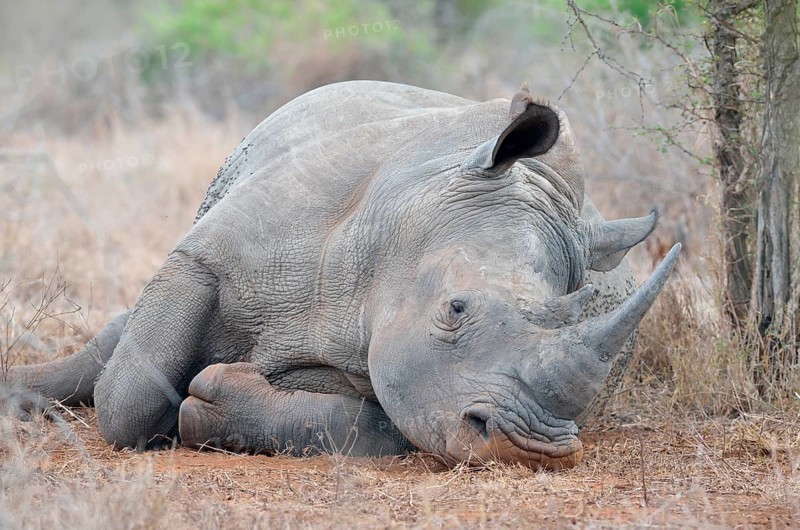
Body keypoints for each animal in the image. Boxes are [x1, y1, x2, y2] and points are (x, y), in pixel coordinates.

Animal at [6, 81, 679, 470]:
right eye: (454, 309)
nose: (533, 448)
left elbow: (377, 422)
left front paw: (215, 400)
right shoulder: (206, 257)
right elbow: (129, 399)